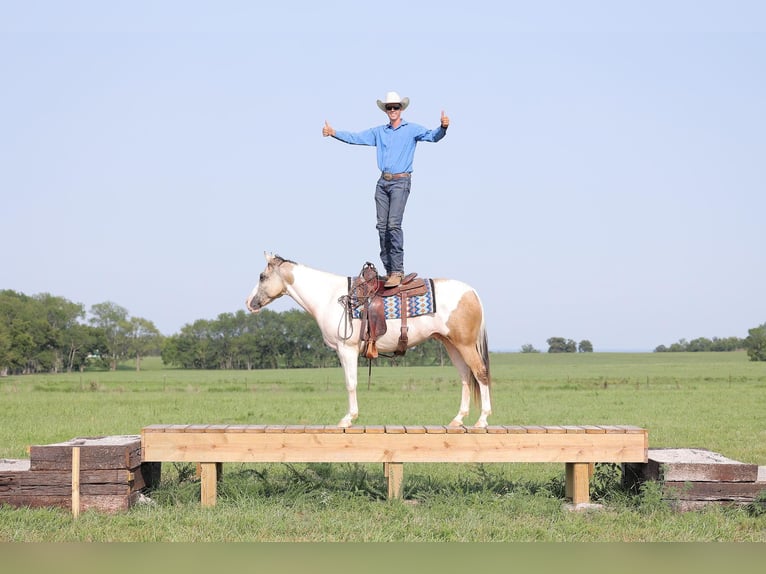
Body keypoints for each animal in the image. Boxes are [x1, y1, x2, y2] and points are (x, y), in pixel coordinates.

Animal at [249, 254, 496, 430]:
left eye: (261, 277)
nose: (249, 303)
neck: (330, 297)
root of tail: (471, 292)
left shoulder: (346, 349)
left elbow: (351, 383)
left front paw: (348, 418)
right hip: (451, 344)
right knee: (465, 376)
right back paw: (458, 419)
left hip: (464, 344)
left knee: (480, 373)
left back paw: (482, 420)